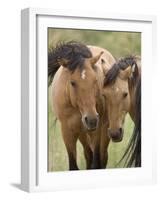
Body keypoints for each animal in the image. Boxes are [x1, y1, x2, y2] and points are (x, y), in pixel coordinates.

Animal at [48, 41, 115, 170]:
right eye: (72, 82)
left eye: (95, 80)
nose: (91, 119)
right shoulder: (67, 131)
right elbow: (74, 165)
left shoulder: (97, 130)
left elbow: (96, 163)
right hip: (82, 134)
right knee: (88, 154)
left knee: (102, 157)